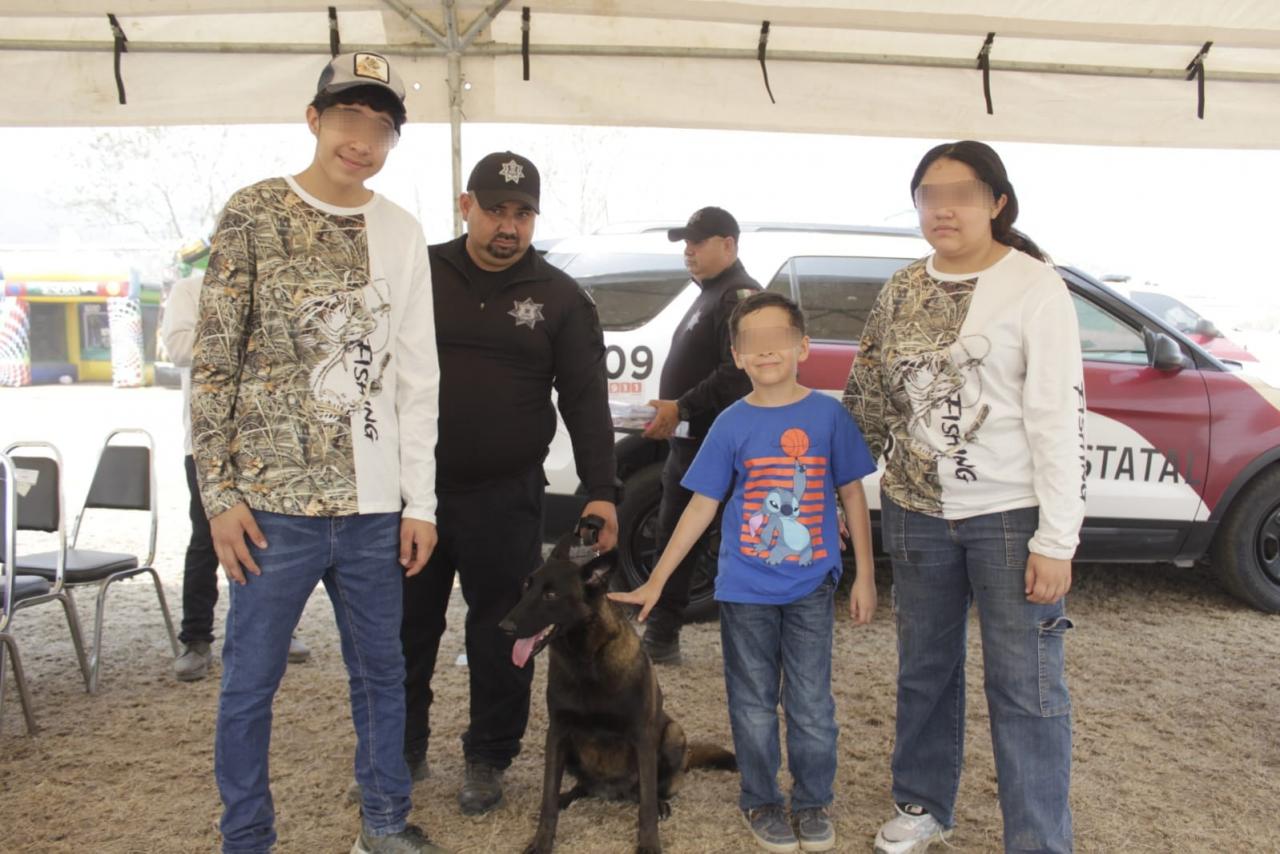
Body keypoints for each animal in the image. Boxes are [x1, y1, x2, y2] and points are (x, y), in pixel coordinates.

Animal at [499, 531, 736, 854]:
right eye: (527, 586)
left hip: (673, 734)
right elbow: (548, 796)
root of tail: (611, 791)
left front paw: (649, 843)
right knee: (582, 787)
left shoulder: (642, 737)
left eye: (551, 595)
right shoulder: (557, 734)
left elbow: (645, 805)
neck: (586, 661)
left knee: (649, 792)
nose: (504, 627)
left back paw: (660, 804)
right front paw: (542, 841)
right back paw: (567, 797)